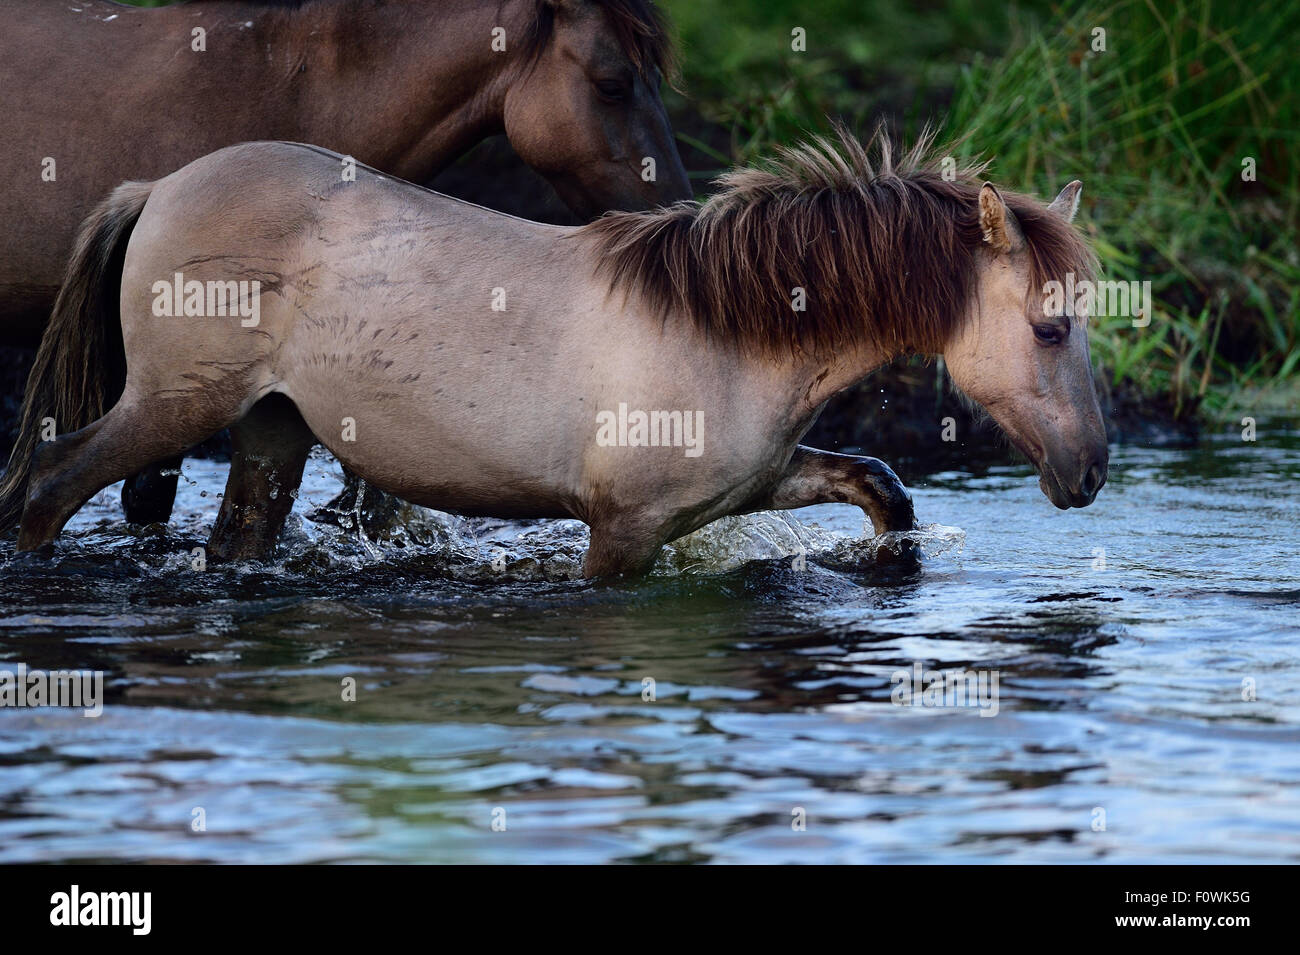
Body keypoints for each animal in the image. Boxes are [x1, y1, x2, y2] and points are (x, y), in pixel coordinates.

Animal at [0, 127, 1112, 574]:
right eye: (1049, 327)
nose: (1092, 472)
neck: (728, 332)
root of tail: (158, 187)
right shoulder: (621, 532)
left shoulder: (749, 484)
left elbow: (882, 487)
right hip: (173, 404)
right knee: (46, 484)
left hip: (270, 430)